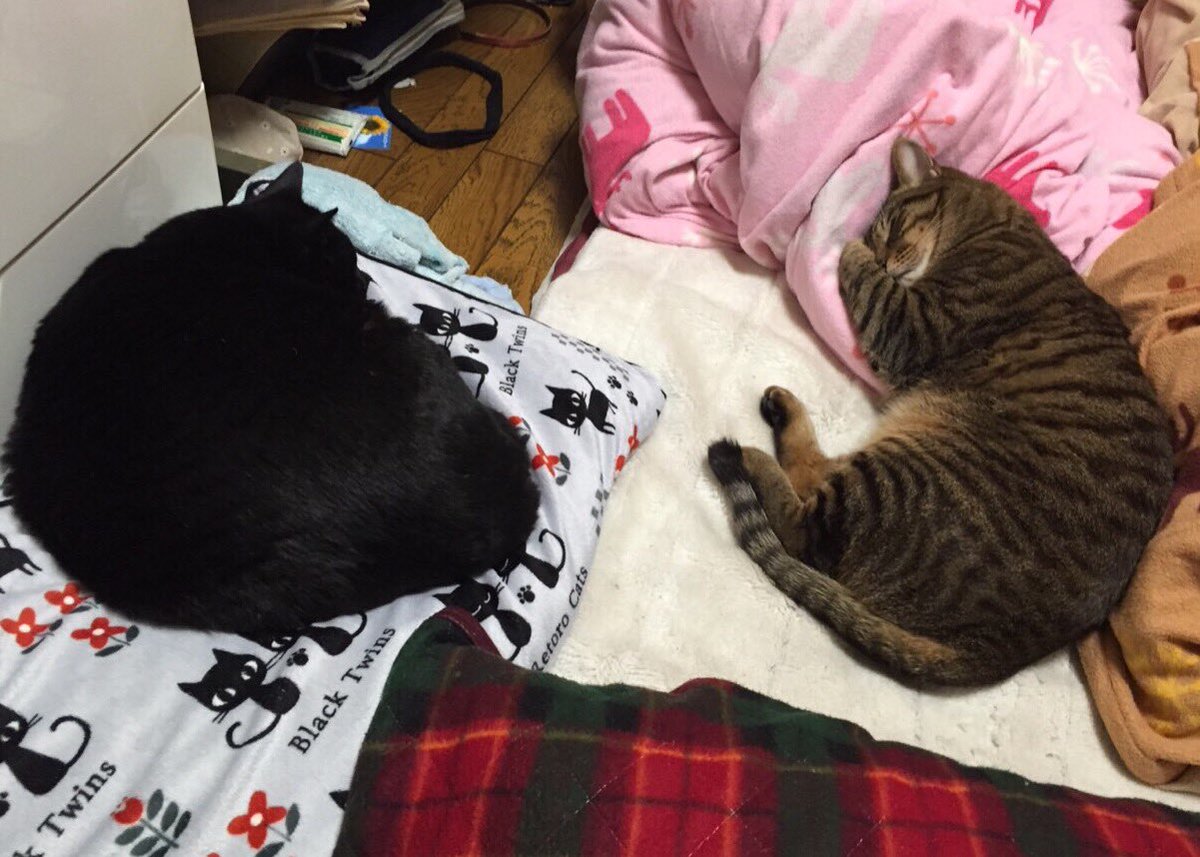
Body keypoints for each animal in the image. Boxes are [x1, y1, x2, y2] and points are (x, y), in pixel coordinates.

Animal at [707, 137, 1174, 687]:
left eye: (890, 228)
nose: (886, 259)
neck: (993, 226)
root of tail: (992, 654)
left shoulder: (912, 323)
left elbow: (859, 272)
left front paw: (846, 245)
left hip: (901, 475)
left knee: (804, 526)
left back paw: (750, 451)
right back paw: (780, 413)